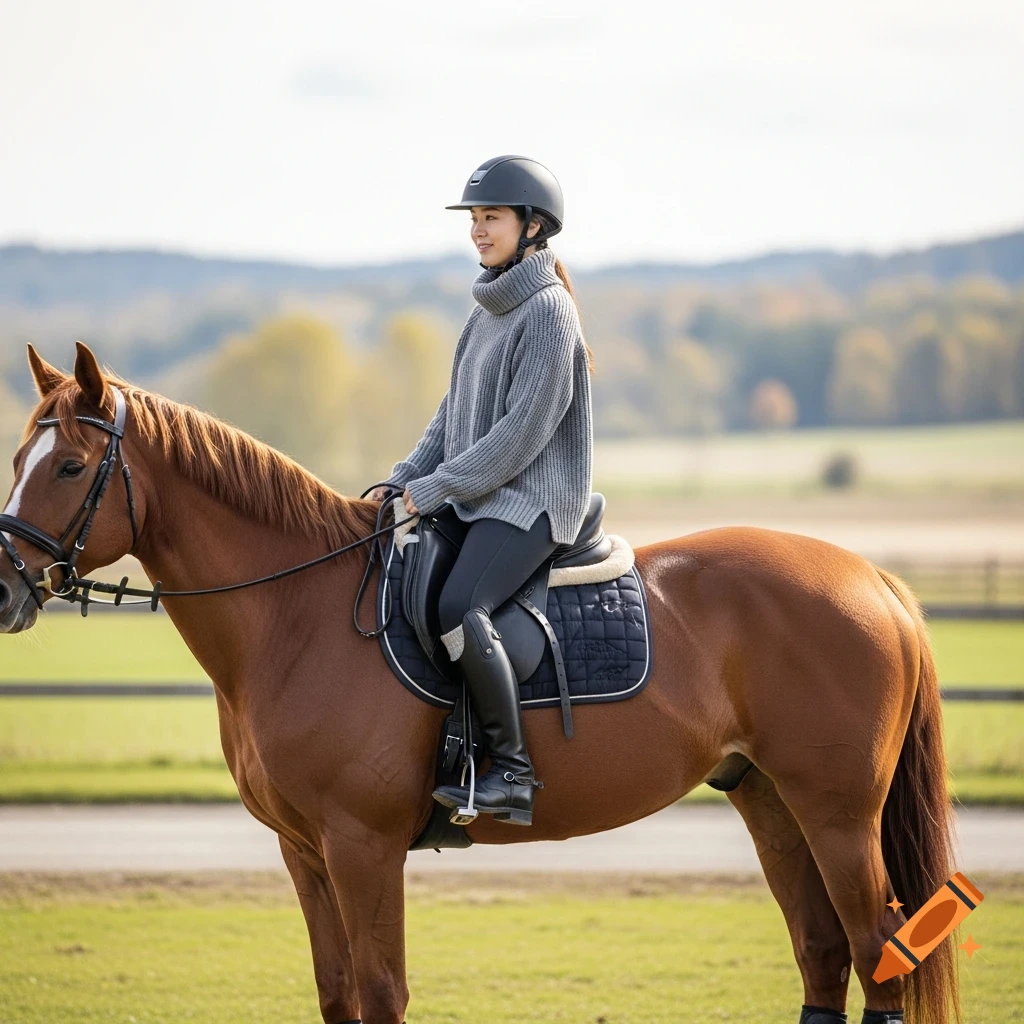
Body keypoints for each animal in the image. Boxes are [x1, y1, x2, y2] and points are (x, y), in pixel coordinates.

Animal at [0, 342, 959, 1024]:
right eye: (18, 458)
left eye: (71, 468)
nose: (4, 585)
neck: (297, 615)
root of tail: (873, 579)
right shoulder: (304, 851)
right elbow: (338, 995)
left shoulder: (361, 847)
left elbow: (381, 994)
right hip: (771, 800)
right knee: (824, 954)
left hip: (838, 814)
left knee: (877, 954)